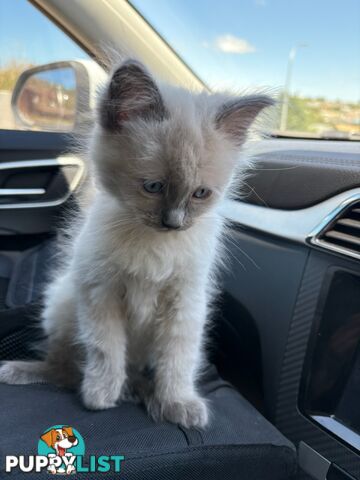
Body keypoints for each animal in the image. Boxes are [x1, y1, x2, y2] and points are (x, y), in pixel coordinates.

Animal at [0, 59, 272, 428]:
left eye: (200, 193)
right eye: (153, 186)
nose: (174, 223)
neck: (154, 244)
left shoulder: (185, 300)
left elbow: (178, 357)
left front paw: (177, 401)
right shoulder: (100, 292)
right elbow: (106, 349)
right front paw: (101, 393)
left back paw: (140, 389)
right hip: (62, 302)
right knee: (63, 367)